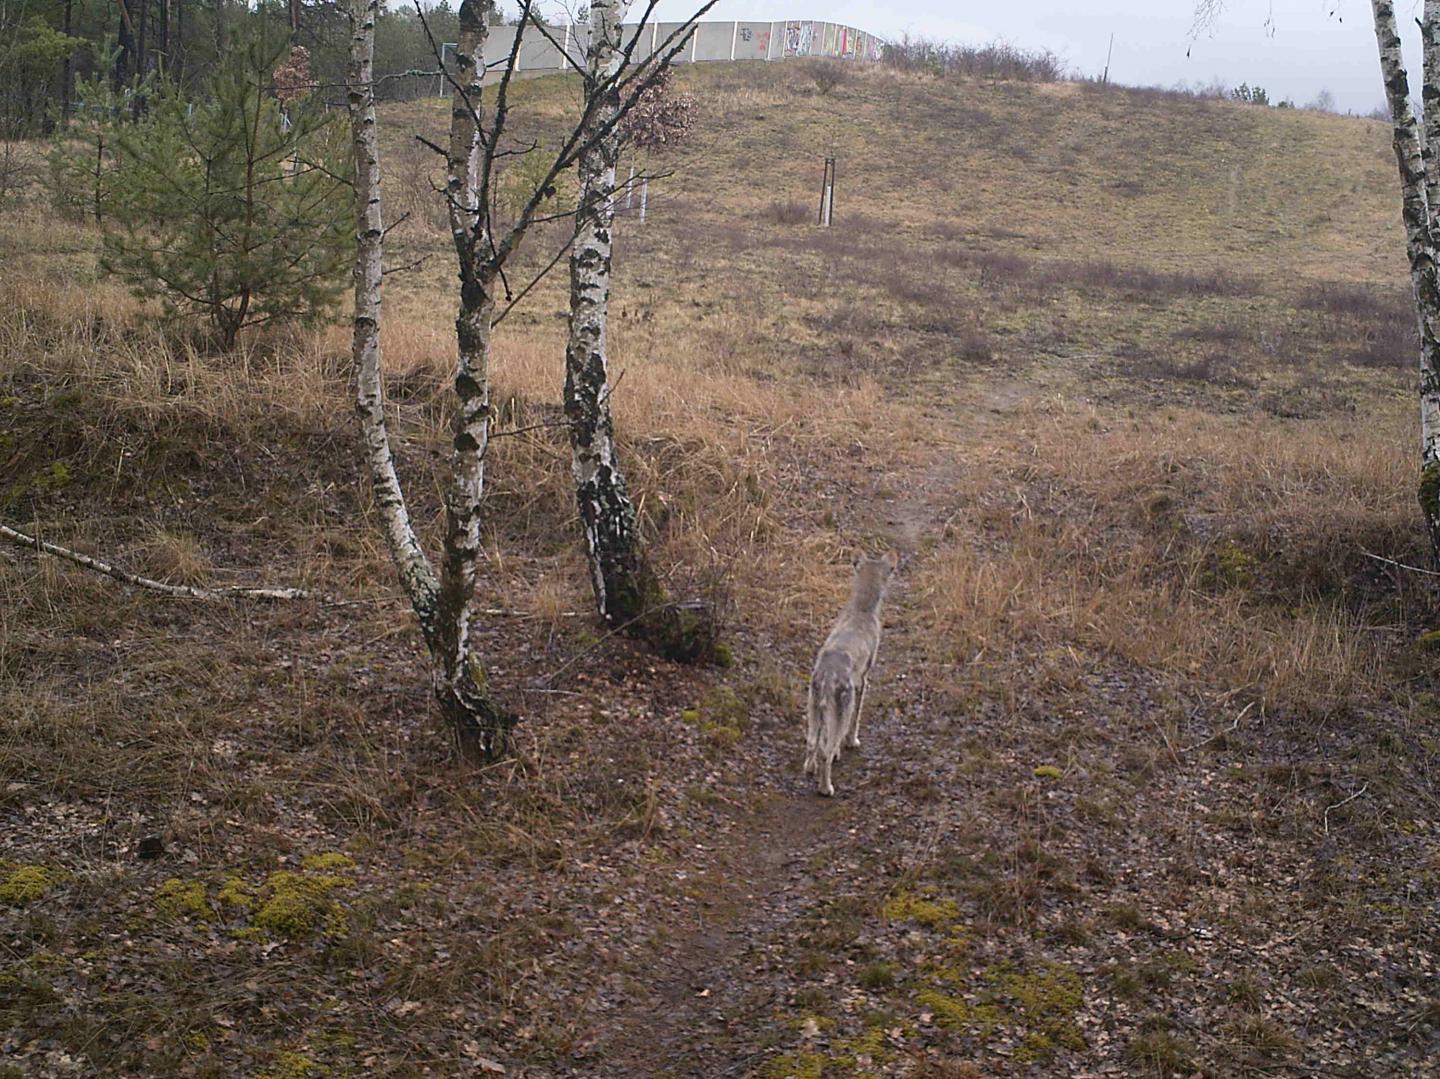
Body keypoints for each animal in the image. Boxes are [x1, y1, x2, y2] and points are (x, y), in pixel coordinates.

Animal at [804, 550, 898, 797]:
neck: (861, 610)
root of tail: (827, 676)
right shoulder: (862, 680)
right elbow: (856, 719)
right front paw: (852, 742)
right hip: (842, 703)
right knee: (825, 750)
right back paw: (826, 788)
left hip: (813, 703)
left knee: (812, 742)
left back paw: (809, 769)